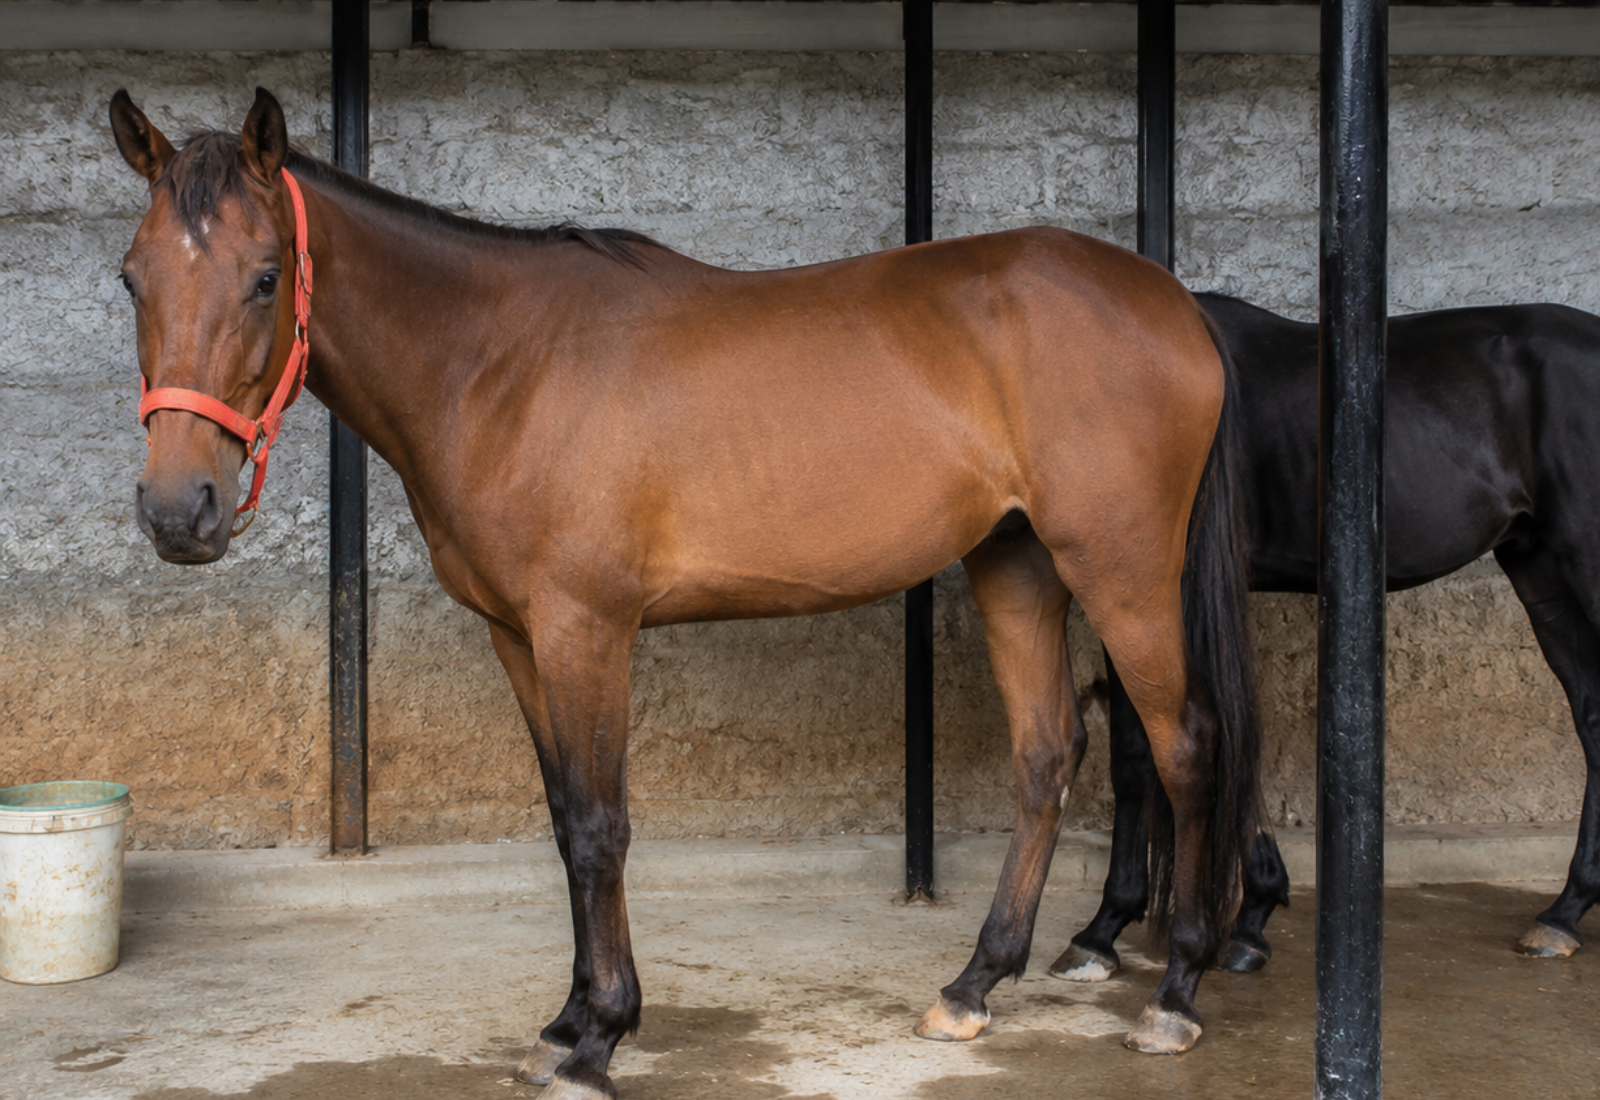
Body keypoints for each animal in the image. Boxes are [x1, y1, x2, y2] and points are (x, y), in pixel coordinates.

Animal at [109, 87, 1260, 1096]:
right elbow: (564, 816)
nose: (177, 512)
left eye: (266, 277)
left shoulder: (586, 630)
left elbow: (599, 827)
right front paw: (566, 1021)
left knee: (1187, 745)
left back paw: (1176, 992)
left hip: (1120, 568)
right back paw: (975, 983)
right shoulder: (519, 636)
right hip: (1014, 560)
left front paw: (598, 1040)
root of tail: (1175, 303)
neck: (499, 363)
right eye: (130, 279)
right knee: (1045, 755)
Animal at [1052, 290, 1600, 986]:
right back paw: (1563, 913)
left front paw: (1105, 927)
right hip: (1540, 571)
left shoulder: (1153, 592)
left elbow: (1148, 752)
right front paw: (1252, 914)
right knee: (1593, 718)